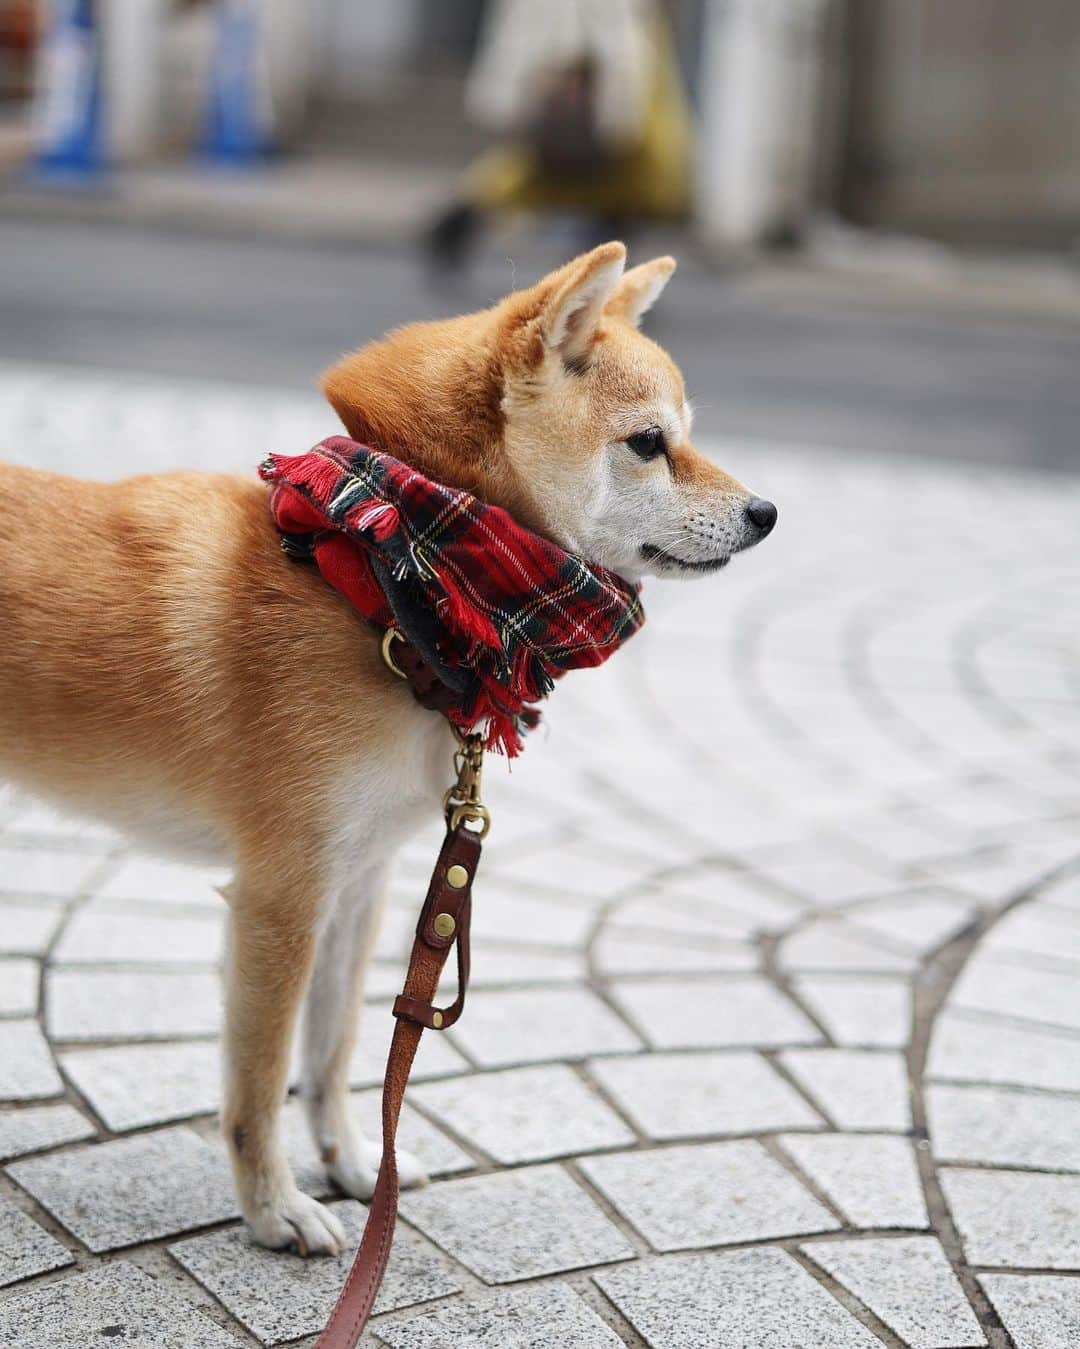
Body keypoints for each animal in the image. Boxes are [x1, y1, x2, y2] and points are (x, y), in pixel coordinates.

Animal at [0, 245, 776, 1251]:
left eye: (686, 435)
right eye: (649, 443)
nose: (766, 512)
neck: (387, 586)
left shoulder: (358, 884)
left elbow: (333, 1054)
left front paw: (353, 1167)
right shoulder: (282, 897)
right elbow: (259, 1080)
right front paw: (274, 1208)